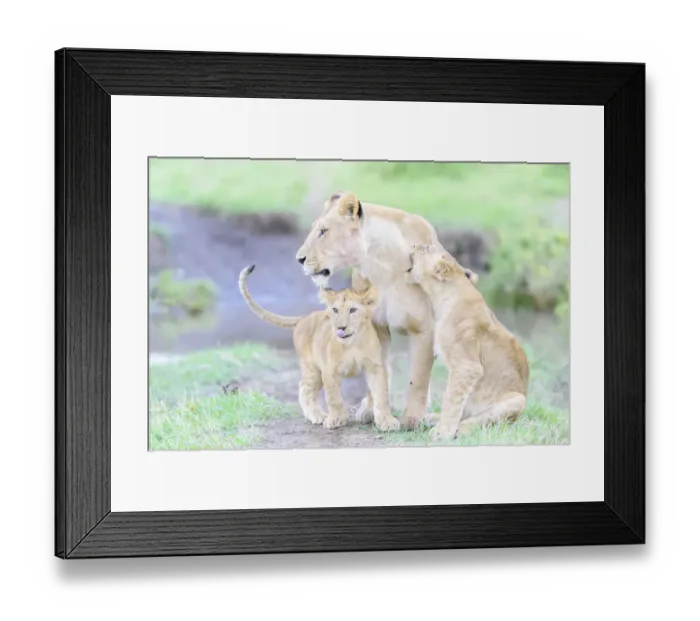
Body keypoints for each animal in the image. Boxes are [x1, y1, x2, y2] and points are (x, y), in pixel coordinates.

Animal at [238, 264, 401, 432]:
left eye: (353, 310)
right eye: (335, 310)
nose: (341, 327)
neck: (352, 344)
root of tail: (303, 318)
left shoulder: (375, 367)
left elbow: (381, 395)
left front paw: (387, 421)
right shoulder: (329, 371)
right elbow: (333, 398)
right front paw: (336, 419)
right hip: (312, 368)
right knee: (304, 388)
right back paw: (317, 415)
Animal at [295, 190, 477, 430]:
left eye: (323, 231)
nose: (299, 259)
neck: (380, 264)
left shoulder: (424, 329)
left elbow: (418, 379)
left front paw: (412, 418)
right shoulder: (375, 325)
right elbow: (380, 372)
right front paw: (373, 411)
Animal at [405, 244, 530, 441]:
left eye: (426, 248)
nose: (415, 245)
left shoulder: (467, 366)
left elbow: (451, 399)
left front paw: (443, 432)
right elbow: (454, 399)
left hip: (517, 400)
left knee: (482, 420)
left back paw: (459, 429)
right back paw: (431, 418)